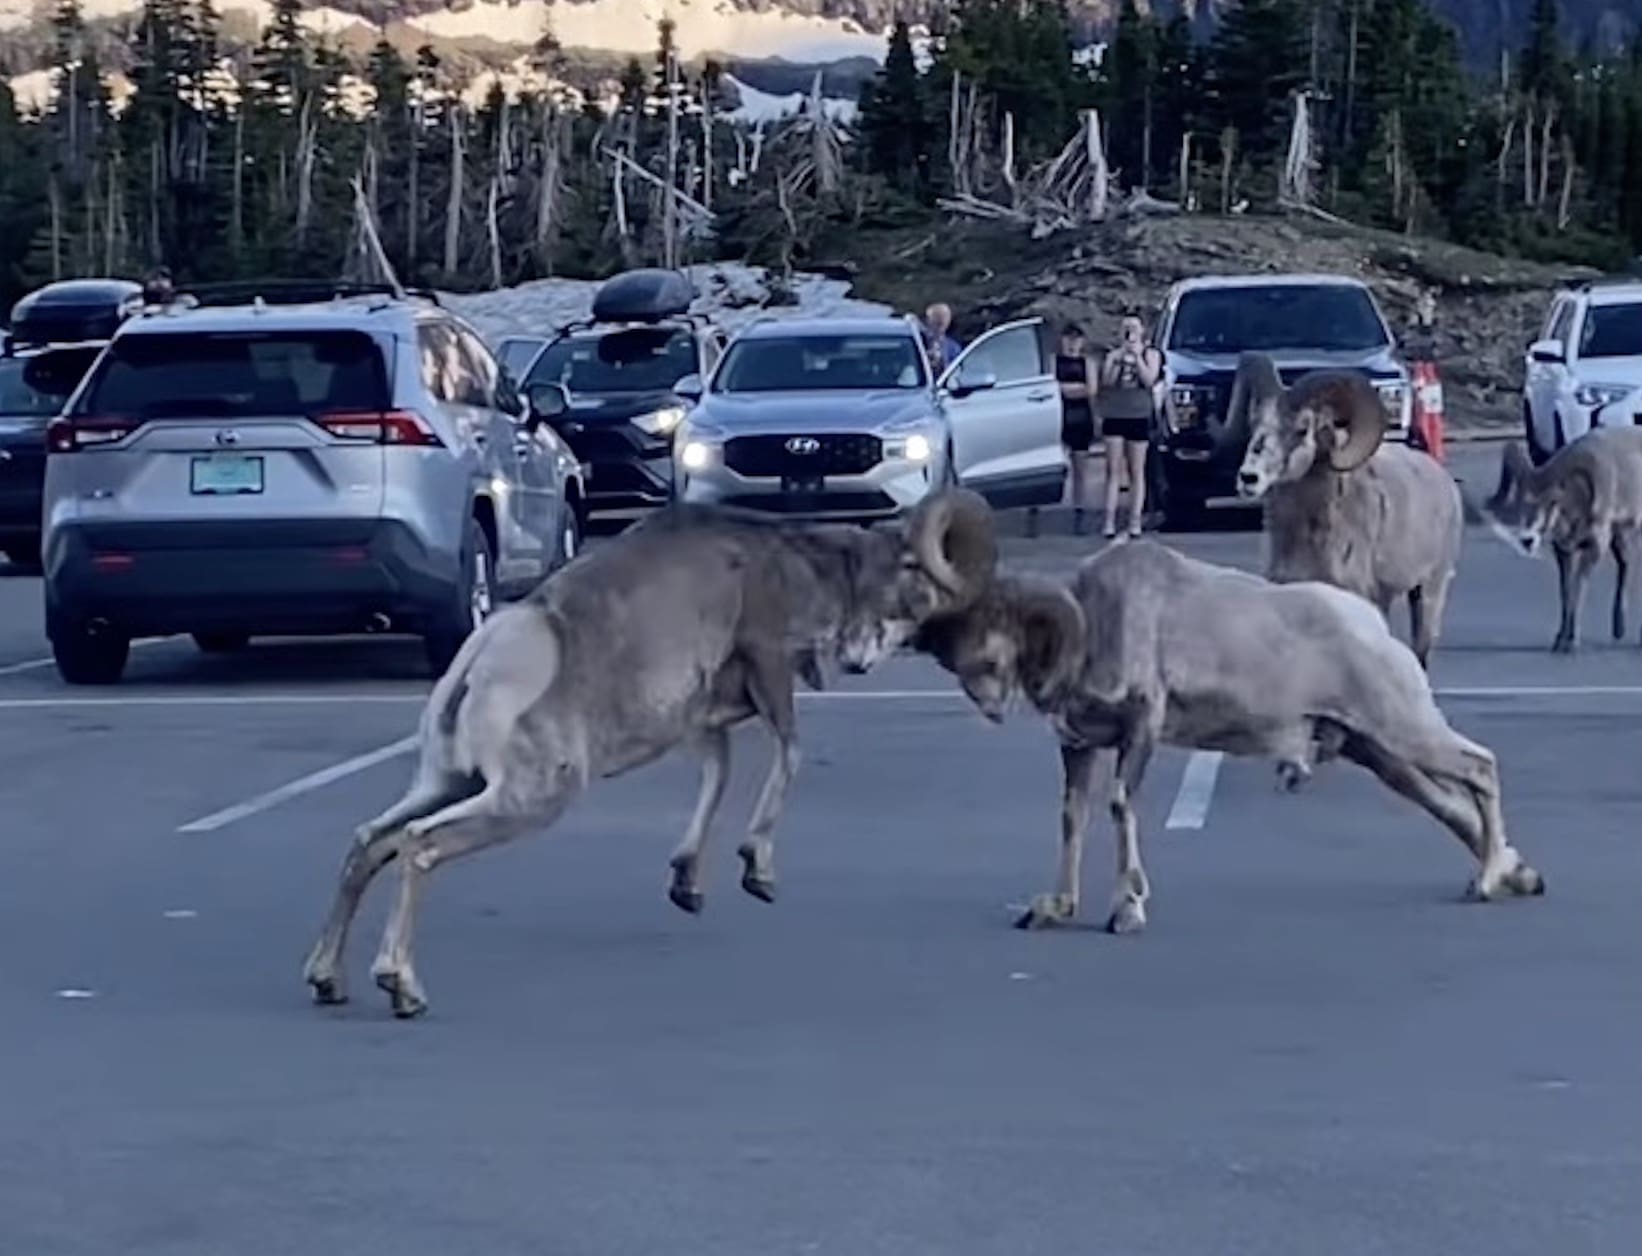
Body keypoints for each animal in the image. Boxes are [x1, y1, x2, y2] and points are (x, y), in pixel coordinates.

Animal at [301, 489, 998, 1019]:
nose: (864, 661)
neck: (793, 567)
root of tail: (486, 657)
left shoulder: (703, 723)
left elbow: (719, 775)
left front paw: (687, 884)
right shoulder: (768, 667)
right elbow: (789, 756)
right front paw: (758, 873)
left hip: (448, 781)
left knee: (371, 842)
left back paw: (328, 980)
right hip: (526, 799)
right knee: (419, 846)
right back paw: (402, 988)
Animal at [901, 539, 1545, 936]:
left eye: (992, 643)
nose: (985, 702)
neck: (1097, 620)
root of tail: (1374, 629)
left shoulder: (1141, 727)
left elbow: (1120, 808)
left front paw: (1127, 911)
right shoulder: (1081, 747)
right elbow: (1072, 818)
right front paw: (1054, 909)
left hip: (1405, 732)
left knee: (1480, 768)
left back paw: (1488, 881)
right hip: (1381, 753)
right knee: (1454, 806)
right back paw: (1518, 877)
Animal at [1480, 426, 1642, 653]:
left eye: (1550, 504)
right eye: (1522, 504)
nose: (1527, 540)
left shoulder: (1594, 548)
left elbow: (1578, 589)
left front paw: (1571, 642)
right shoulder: (1565, 552)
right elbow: (1566, 593)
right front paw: (1560, 640)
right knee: (1626, 565)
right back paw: (1619, 629)